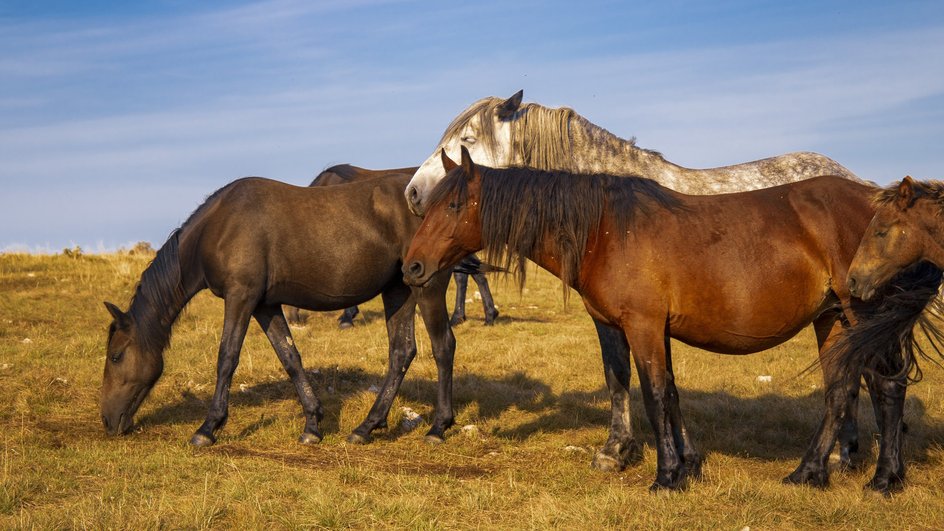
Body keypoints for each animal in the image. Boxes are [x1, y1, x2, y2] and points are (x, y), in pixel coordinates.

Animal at [100, 176, 458, 448]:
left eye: (116, 356)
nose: (107, 420)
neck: (219, 226)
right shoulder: (265, 305)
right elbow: (290, 358)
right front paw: (312, 424)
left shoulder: (240, 297)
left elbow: (227, 357)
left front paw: (208, 428)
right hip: (399, 291)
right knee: (401, 352)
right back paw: (366, 427)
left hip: (428, 288)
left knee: (443, 346)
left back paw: (438, 427)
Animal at [402, 147, 940, 494]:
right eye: (430, 205)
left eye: (455, 204)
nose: (412, 267)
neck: (604, 229)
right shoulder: (643, 329)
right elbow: (667, 393)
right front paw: (686, 467)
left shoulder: (642, 326)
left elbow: (654, 393)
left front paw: (664, 477)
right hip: (832, 320)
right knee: (840, 389)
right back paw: (809, 473)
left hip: (862, 314)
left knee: (886, 386)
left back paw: (884, 479)